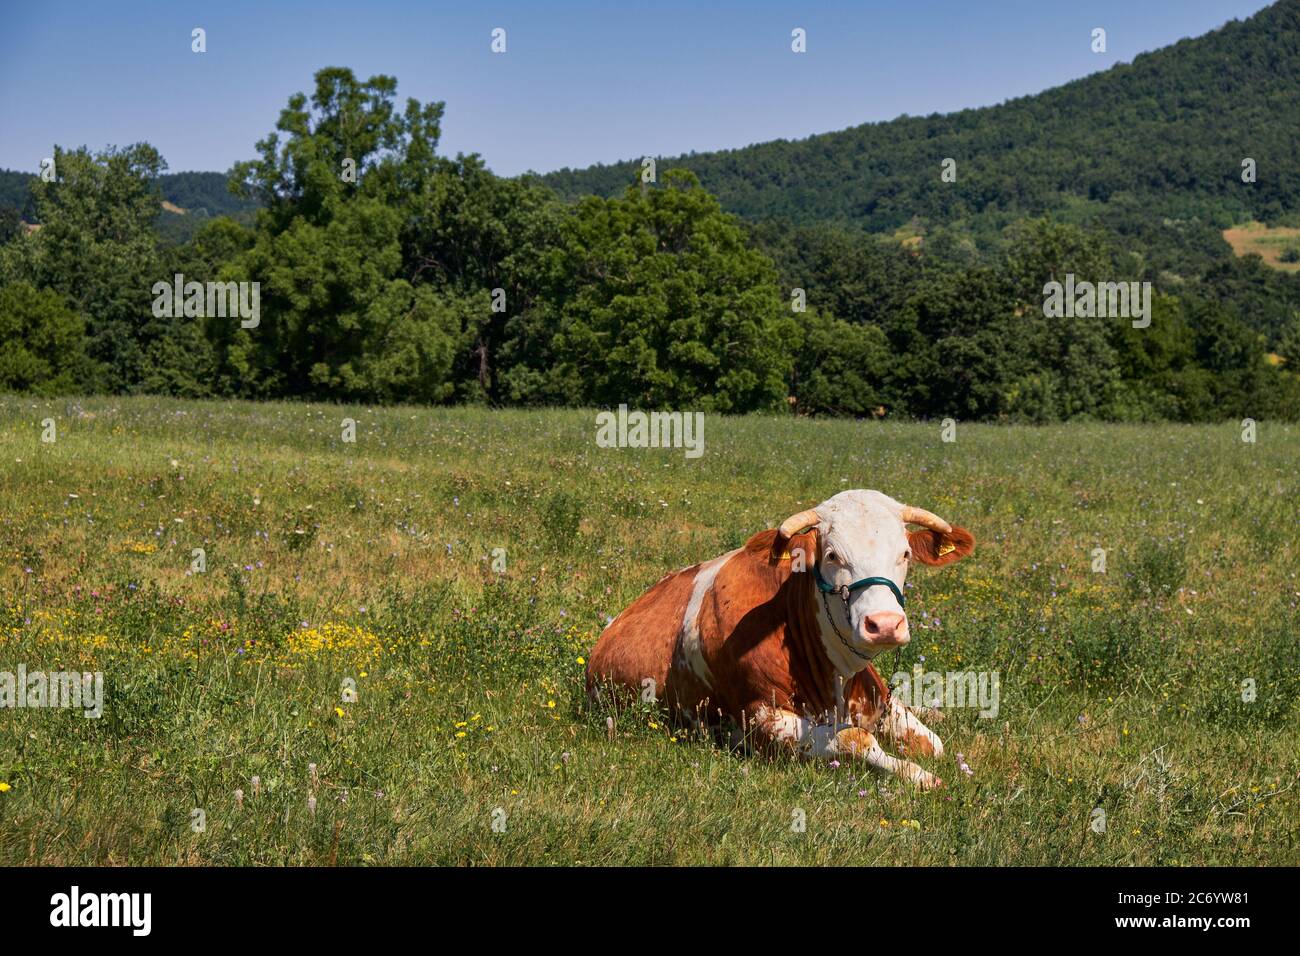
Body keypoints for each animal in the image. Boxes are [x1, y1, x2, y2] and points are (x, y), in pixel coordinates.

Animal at [586, 489, 975, 789]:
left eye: (905, 554)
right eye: (832, 555)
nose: (885, 624)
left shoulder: (879, 699)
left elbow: (934, 744)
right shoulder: (762, 722)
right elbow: (856, 737)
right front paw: (919, 775)